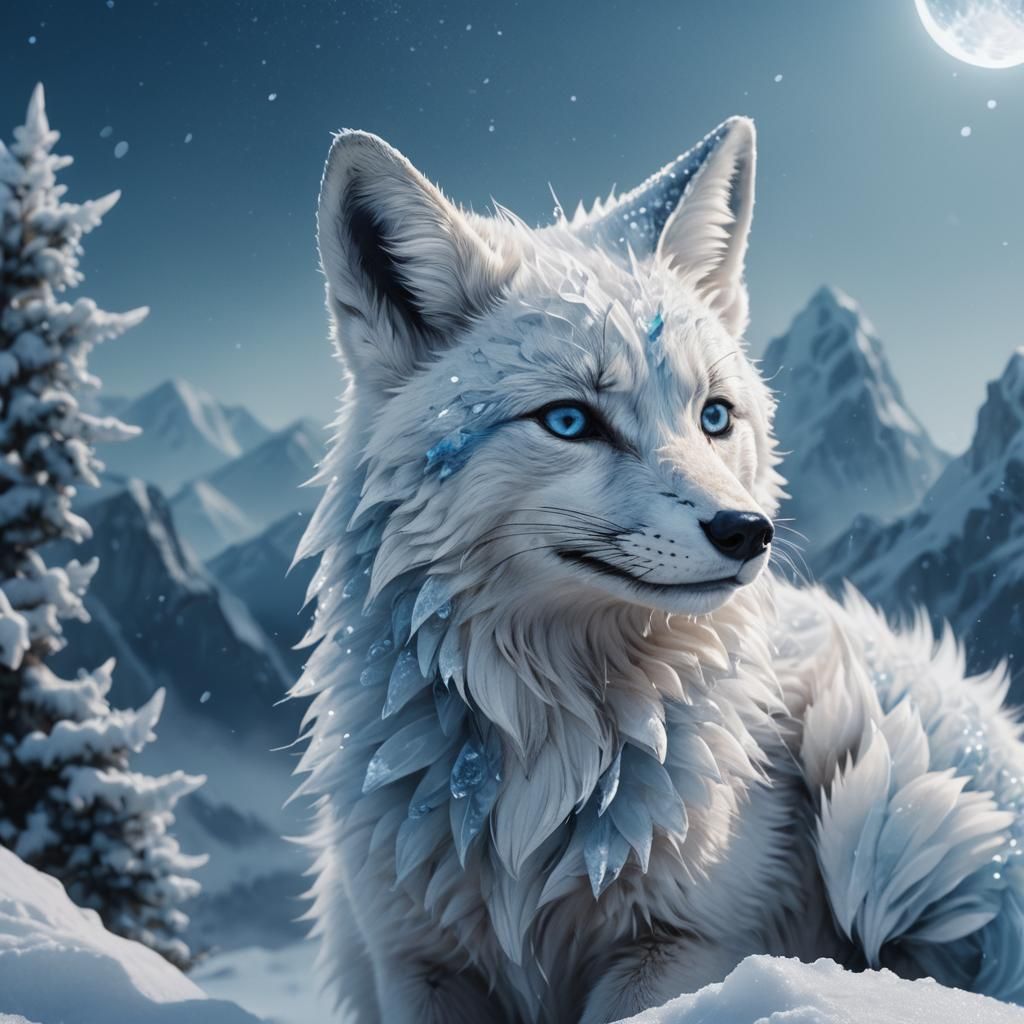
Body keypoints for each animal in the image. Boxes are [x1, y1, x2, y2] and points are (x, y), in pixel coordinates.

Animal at [289, 116, 1024, 1023]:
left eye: (714, 416)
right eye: (569, 421)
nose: (748, 532)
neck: (549, 745)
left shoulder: (679, 946)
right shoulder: (418, 964)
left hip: (879, 785)